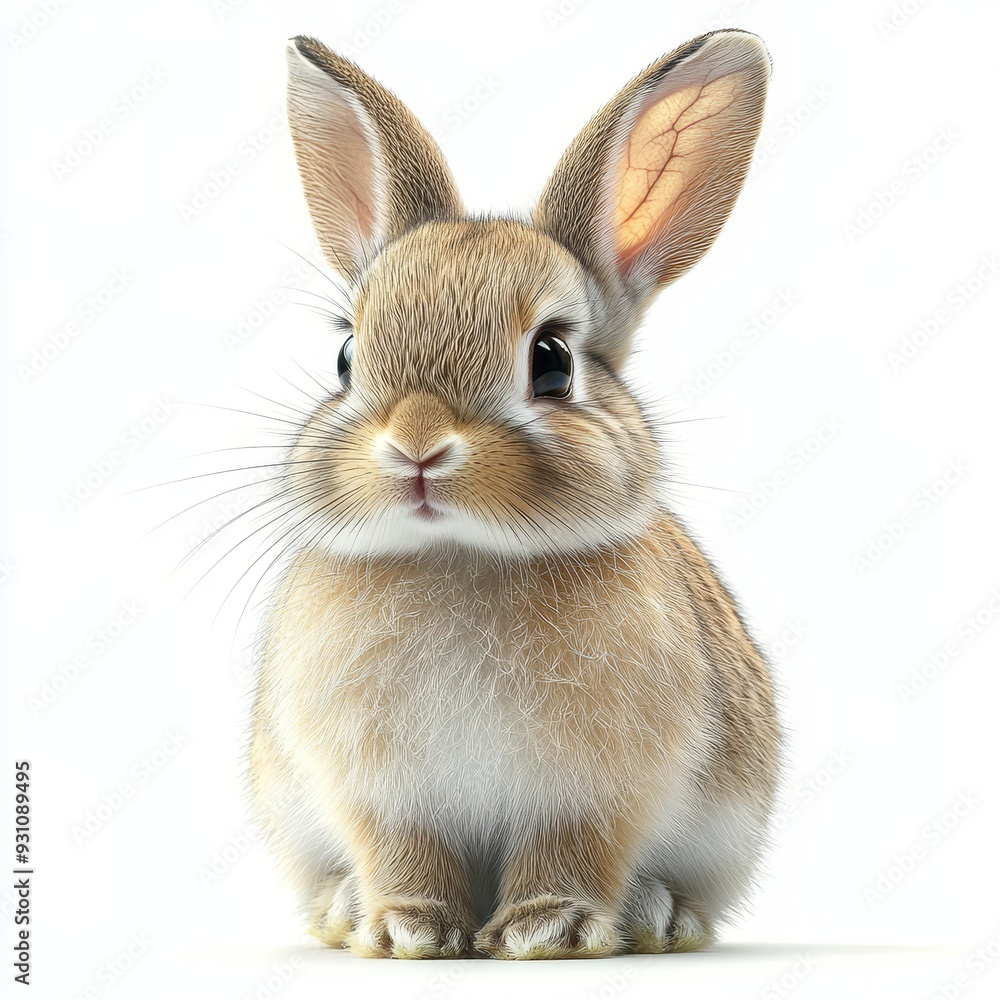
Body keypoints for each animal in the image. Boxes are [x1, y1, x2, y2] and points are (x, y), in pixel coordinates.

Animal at [249, 29, 781, 960]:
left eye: (552, 361)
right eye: (347, 357)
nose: (417, 446)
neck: (460, 553)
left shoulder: (592, 791)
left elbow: (571, 848)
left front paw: (547, 931)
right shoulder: (383, 794)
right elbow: (403, 851)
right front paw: (408, 931)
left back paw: (658, 916)